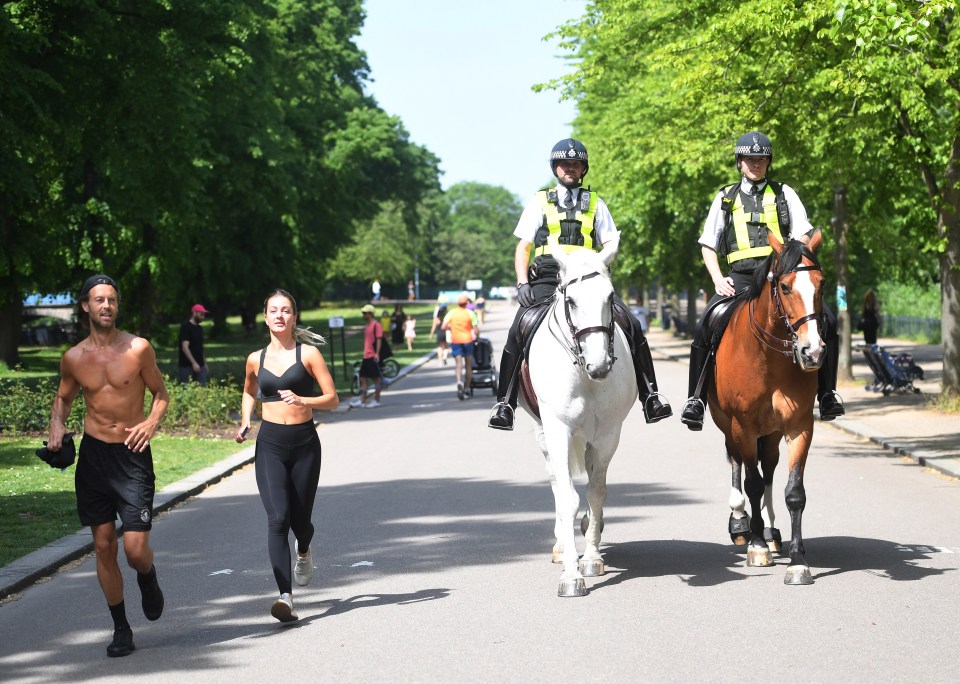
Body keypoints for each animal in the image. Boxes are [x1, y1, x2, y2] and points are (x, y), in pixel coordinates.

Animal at [520, 243, 632, 596]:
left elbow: (596, 492)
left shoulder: (608, 433)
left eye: (610, 297)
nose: (600, 365)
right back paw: (560, 545)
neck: (584, 375)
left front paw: (592, 558)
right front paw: (571, 575)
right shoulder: (557, 430)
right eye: (571, 300)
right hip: (542, 431)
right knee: (556, 482)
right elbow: (567, 497)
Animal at [708, 227, 828, 584]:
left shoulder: (799, 426)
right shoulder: (743, 427)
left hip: (772, 433)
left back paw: (772, 531)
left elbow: (793, 491)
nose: (812, 352)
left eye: (821, 284)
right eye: (785, 286)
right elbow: (752, 482)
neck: (770, 359)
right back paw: (742, 524)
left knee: (770, 468)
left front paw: (798, 561)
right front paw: (757, 547)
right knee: (739, 464)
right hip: (729, 425)